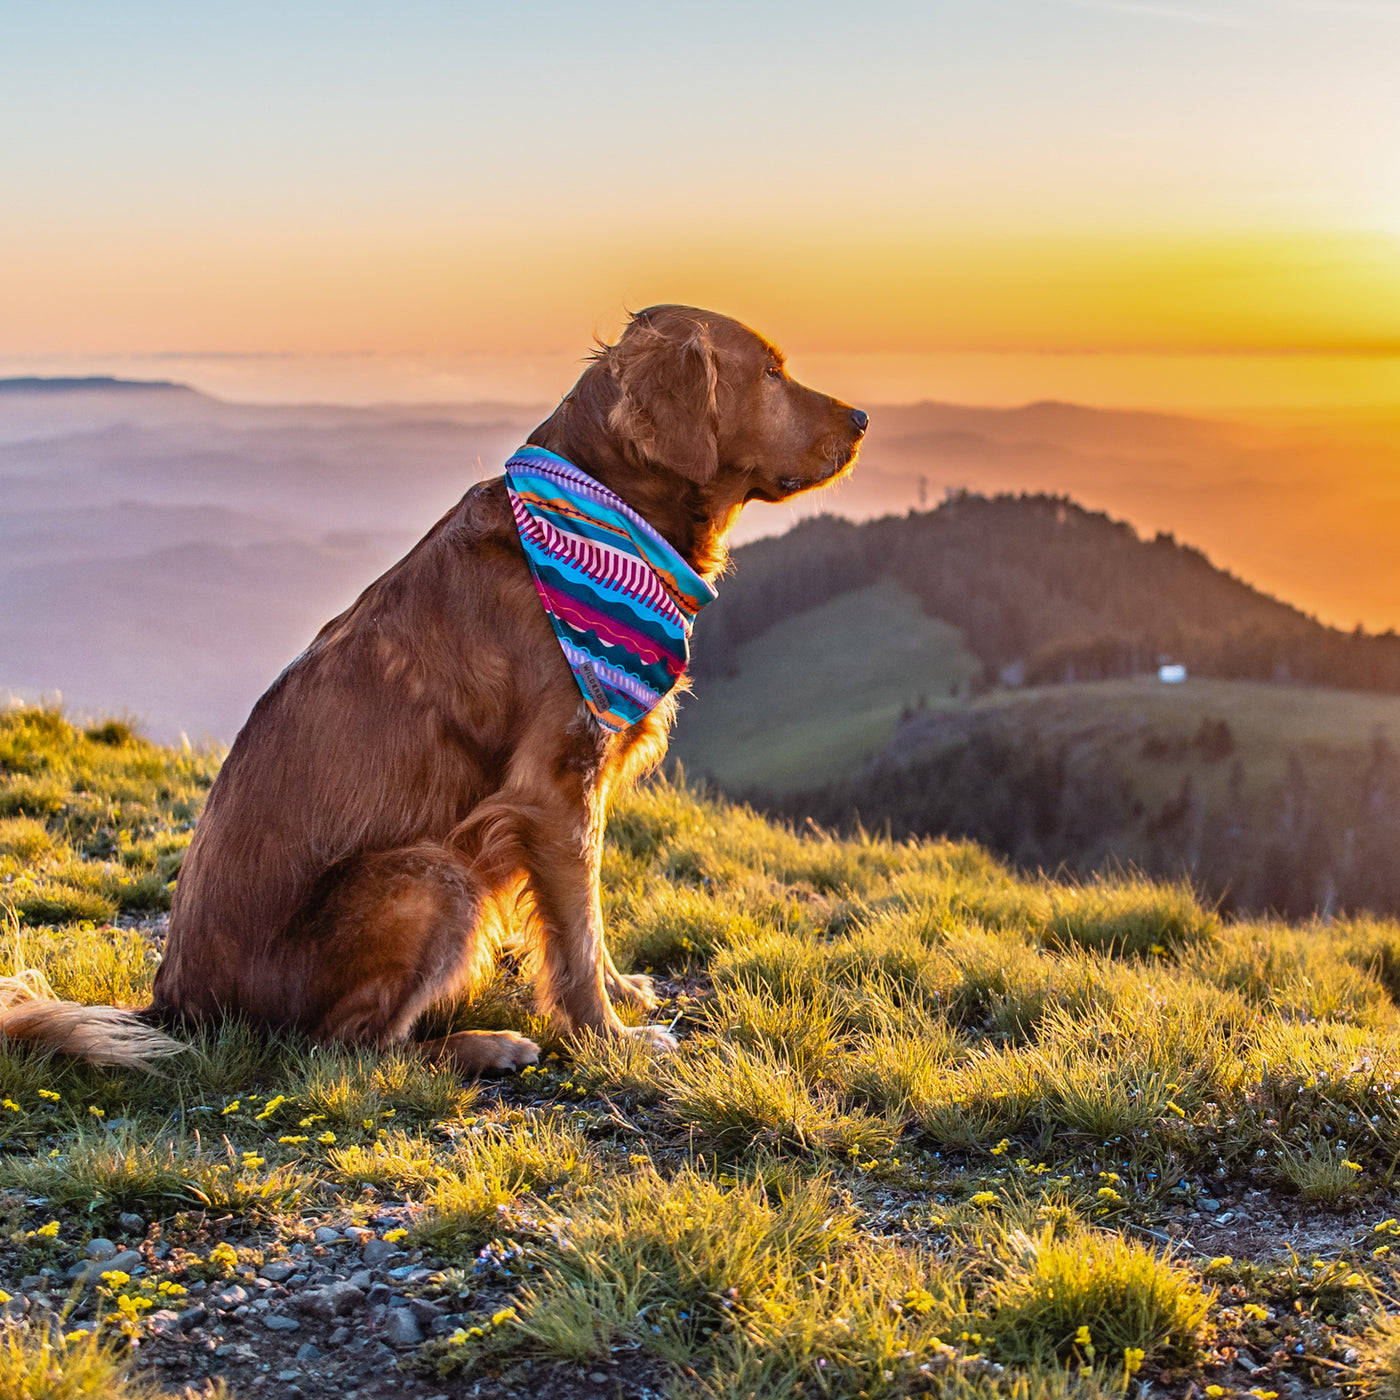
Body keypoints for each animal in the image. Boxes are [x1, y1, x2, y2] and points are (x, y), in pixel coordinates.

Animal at [2, 306, 862, 1069]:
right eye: (771, 372)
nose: (860, 418)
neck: (603, 512)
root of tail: (178, 1003)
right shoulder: (552, 790)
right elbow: (576, 936)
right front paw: (609, 1040)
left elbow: (588, 919)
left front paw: (624, 994)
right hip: (433, 874)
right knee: (351, 1051)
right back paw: (484, 1046)